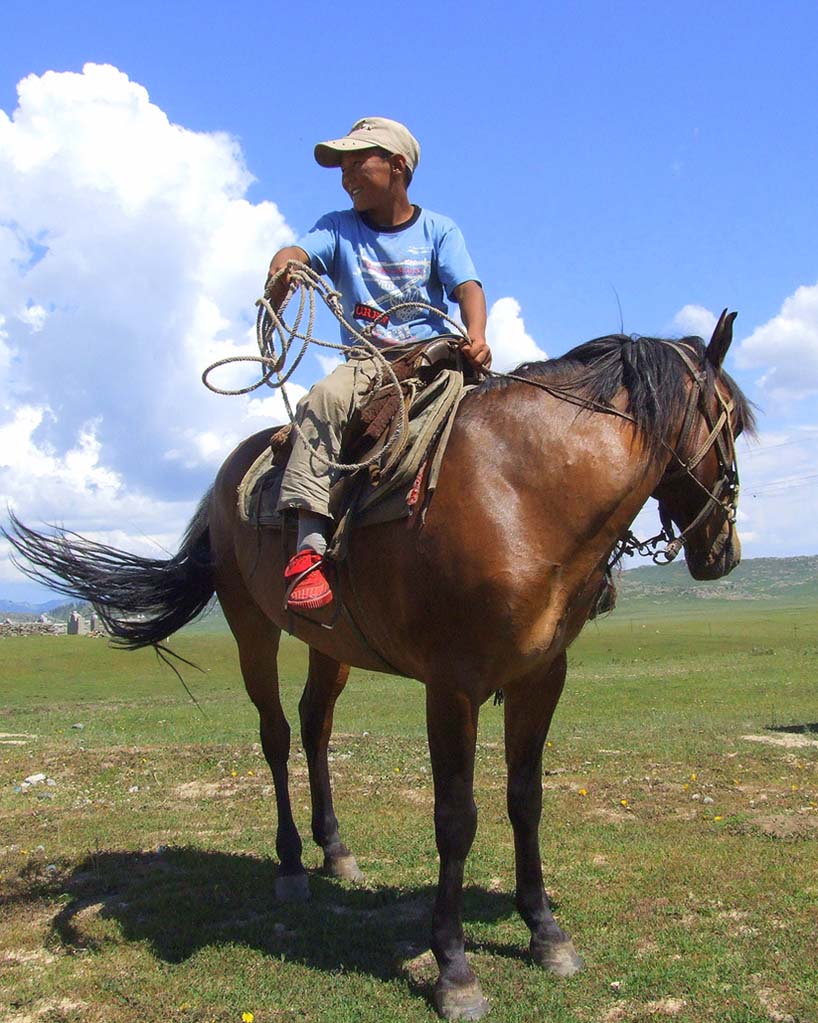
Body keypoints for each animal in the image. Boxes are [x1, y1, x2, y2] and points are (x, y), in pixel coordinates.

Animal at [3, 310, 752, 1023]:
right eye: (737, 425)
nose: (724, 551)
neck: (524, 494)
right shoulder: (452, 687)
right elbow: (455, 817)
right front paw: (454, 969)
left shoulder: (541, 677)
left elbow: (526, 800)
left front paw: (546, 933)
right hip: (252, 627)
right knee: (276, 734)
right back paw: (291, 863)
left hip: (329, 643)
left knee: (314, 725)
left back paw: (334, 848)